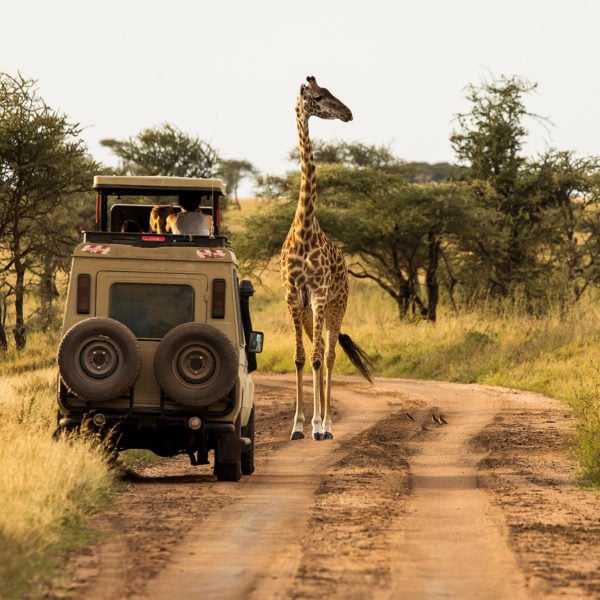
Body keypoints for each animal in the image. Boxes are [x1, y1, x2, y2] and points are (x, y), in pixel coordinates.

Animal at [280, 76, 372, 440]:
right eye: (318, 97)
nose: (347, 113)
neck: (304, 228)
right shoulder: (294, 297)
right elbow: (300, 357)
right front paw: (297, 426)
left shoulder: (319, 295)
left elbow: (319, 357)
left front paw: (318, 426)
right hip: (310, 312)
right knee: (316, 351)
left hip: (337, 306)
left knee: (330, 355)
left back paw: (328, 424)